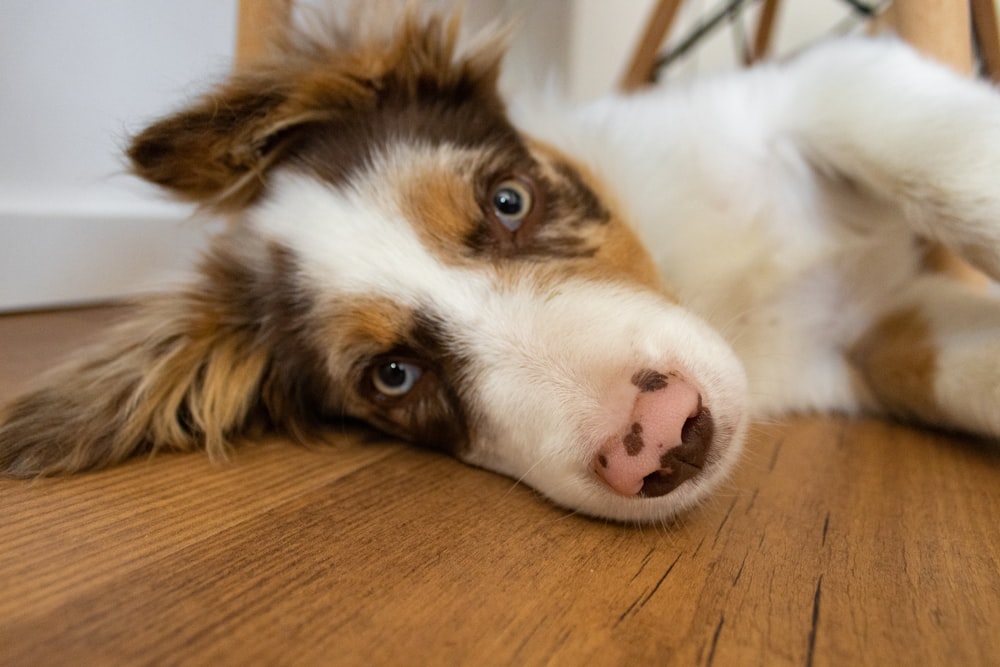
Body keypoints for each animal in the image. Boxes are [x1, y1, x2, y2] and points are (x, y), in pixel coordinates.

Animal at [1, 10, 1000, 520]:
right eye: (394, 374)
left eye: (509, 202)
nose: (660, 436)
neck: (697, 273)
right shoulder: (873, 340)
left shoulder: (825, 84)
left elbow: (949, 161)